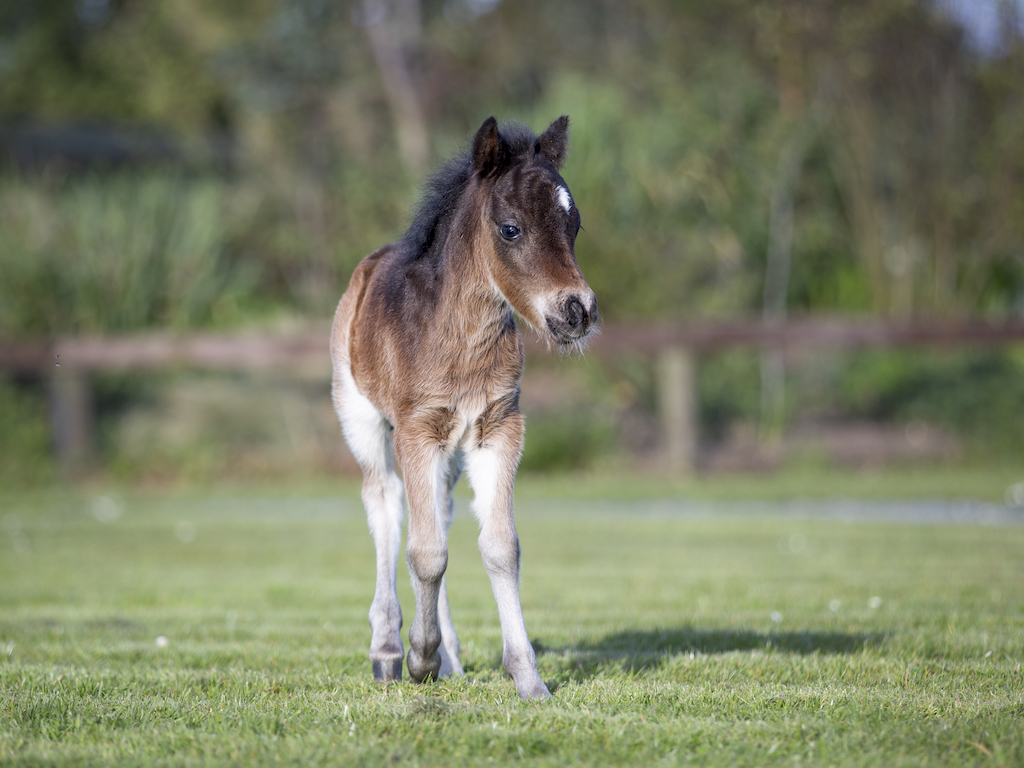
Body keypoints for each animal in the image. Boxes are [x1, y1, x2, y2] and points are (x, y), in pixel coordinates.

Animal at [330, 116, 597, 700]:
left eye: (575, 224)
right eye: (511, 229)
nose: (578, 311)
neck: (462, 338)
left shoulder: (498, 428)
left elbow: (500, 548)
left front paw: (528, 679)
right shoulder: (416, 430)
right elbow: (425, 554)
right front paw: (418, 660)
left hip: (451, 451)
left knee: (441, 513)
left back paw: (450, 656)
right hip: (363, 419)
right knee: (385, 503)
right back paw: (388, 650)